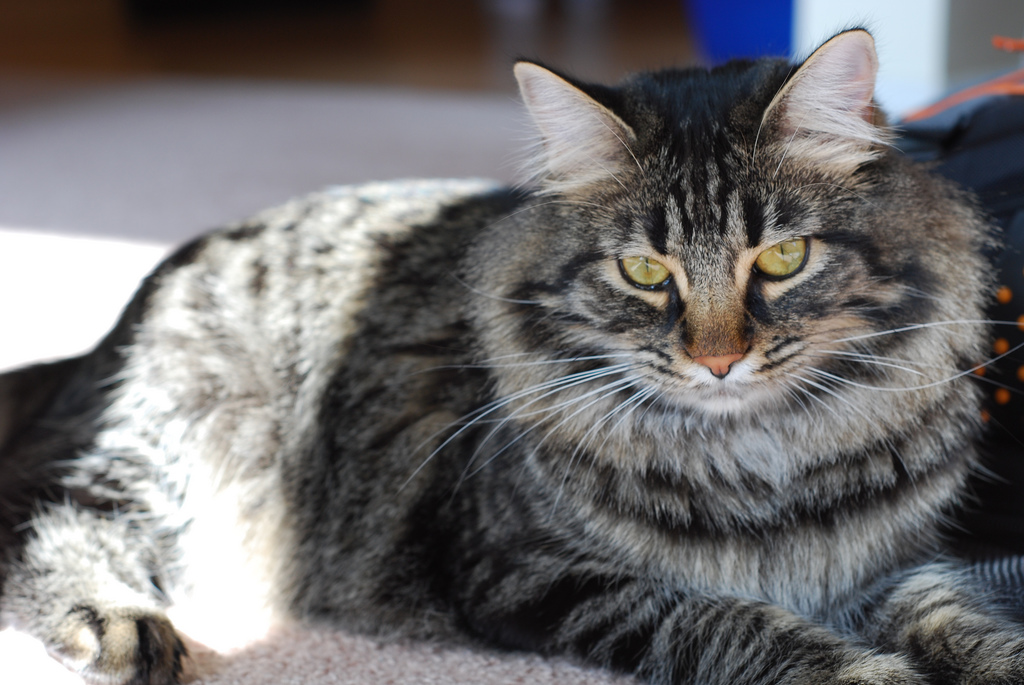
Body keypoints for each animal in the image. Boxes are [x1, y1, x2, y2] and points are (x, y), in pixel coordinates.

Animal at [2, 26, 1024, 683]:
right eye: (644, 270)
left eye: (782, 258)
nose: (718, 360)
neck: (762, 462)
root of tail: (151, 286)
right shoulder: (542, 575)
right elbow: (744, 627)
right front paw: (870, 674)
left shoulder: (899, 562)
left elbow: (960, 616)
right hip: (172, 463)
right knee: (42, 511)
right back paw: (116, 626)